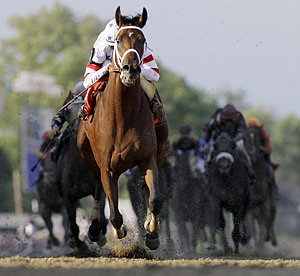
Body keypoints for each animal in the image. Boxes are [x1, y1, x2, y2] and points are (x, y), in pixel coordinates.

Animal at [54, 94, 108, 251]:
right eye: (67, 111)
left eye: (84, 106)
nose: (77, 128)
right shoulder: (68, 196)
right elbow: (73, 224)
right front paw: (79, 244)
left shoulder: (97, 187)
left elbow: (99, 215)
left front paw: (96, 233)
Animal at [77, 6, 169, 251]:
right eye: (118, 40)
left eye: (142, 40)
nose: (131, 70)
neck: (123, 117)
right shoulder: (107, 168)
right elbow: (115, 214)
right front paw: (117, 232)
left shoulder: (148, 158)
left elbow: (155, 198)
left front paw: (152, 232)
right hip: (89, 157)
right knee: (99, 191)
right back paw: (95, 229)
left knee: (146, 191)